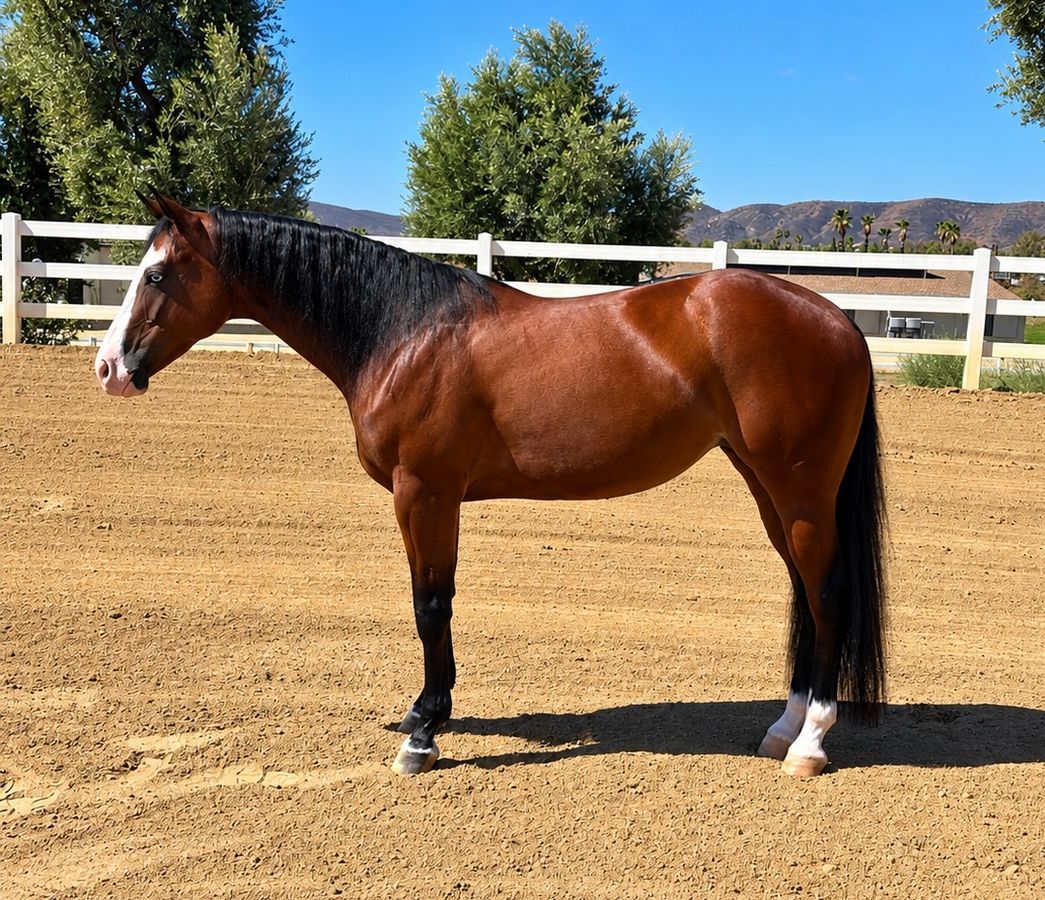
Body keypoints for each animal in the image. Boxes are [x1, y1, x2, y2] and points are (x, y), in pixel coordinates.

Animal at [94, 192, 886, 777]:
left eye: (157, 275)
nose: (108, 368)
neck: (402, 332)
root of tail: (839, 320)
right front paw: (426, 716)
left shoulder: (424, 494)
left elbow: (430, 605)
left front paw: (422, 731)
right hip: (768, 487)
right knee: (804, 591)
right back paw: (782, 728)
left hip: (799, 491)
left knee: (826, 595)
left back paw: (810, 744)